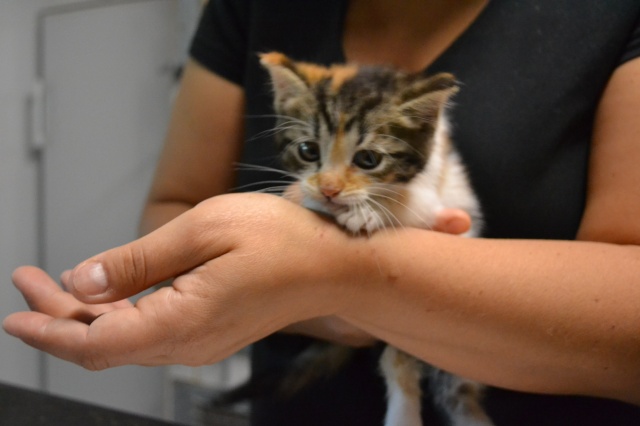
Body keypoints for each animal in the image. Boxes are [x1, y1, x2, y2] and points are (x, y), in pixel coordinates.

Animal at [217, 52, 493, 426]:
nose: (329, 189)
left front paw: (370, 211)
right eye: (308, 150)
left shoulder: (449, 191)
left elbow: (416, 203)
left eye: (368, 159)